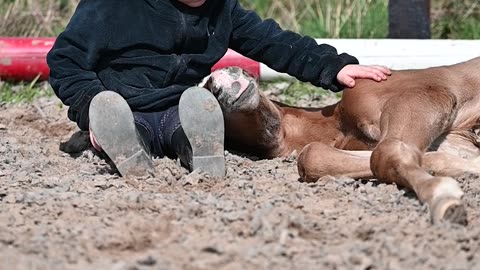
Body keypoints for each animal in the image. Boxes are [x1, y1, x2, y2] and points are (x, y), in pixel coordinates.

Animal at [210, 58, 480, 225]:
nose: (219, 80)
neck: (339, 123)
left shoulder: (426, 95)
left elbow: (387, 152)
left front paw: (442, 195)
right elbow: (313, 156)